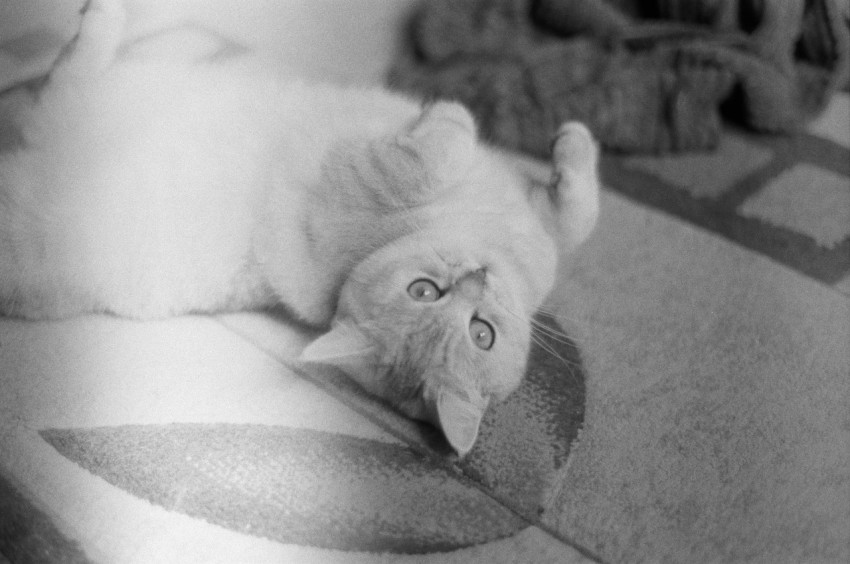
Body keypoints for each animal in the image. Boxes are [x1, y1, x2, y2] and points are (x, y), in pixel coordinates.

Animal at [0, 0, 600, 454]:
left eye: (481, 333)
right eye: (425, 291)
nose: (475, 278)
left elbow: (451, 155)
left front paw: (462, 114)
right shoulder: (522, 217)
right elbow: (572, 207)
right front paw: (562, 140)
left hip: (76, 114)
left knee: (67, 71)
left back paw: (100, 18)